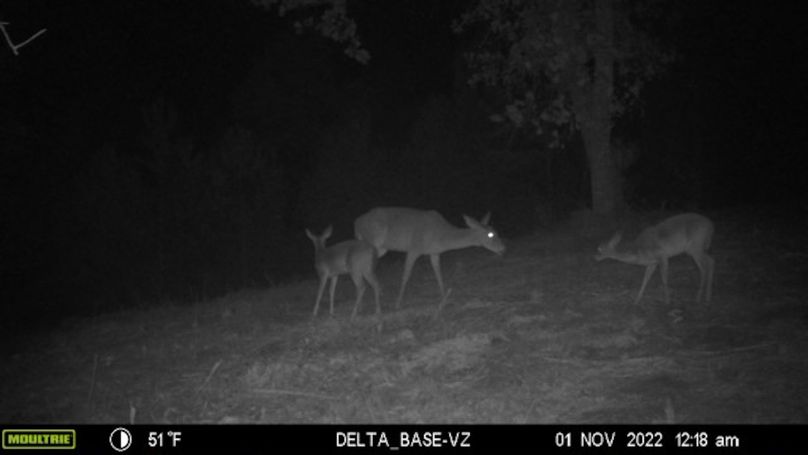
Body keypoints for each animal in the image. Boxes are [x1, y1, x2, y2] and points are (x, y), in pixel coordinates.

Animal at [354, 207, 506, 308]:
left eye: (497, 232)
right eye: (490, 235)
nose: (503, 249)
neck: (441, 236)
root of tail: (356, 223)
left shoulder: (434, 252)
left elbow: (438, 272)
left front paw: (444, 298)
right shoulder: (414, 248)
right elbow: (406, 275)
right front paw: (398, 303)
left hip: (380, 248)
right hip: (372, 242)